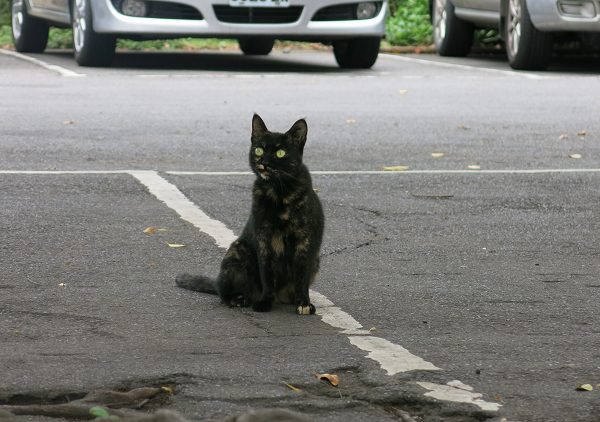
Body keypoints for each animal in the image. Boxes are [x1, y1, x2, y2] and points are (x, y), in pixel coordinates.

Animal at [177, 113, 324, 314]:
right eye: (259, 150)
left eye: (280, 153)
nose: (264, 163)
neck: (279, 194)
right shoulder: (264, 241)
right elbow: (267, 274)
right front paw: (264, 302)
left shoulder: (306, 243)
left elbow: (302, 277)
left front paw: (303, 303)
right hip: (239, 251)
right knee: (223, 292)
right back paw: (239, 298)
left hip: (316, 260)